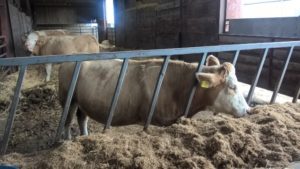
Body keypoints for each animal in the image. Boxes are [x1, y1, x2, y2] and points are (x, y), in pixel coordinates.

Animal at [58, 55, 251, 139]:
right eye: (233, 87)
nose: (248, 110)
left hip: (83, 101)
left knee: (82, 118)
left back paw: (84, 137)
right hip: (68, 98)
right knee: (67, 121)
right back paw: (67, 141)